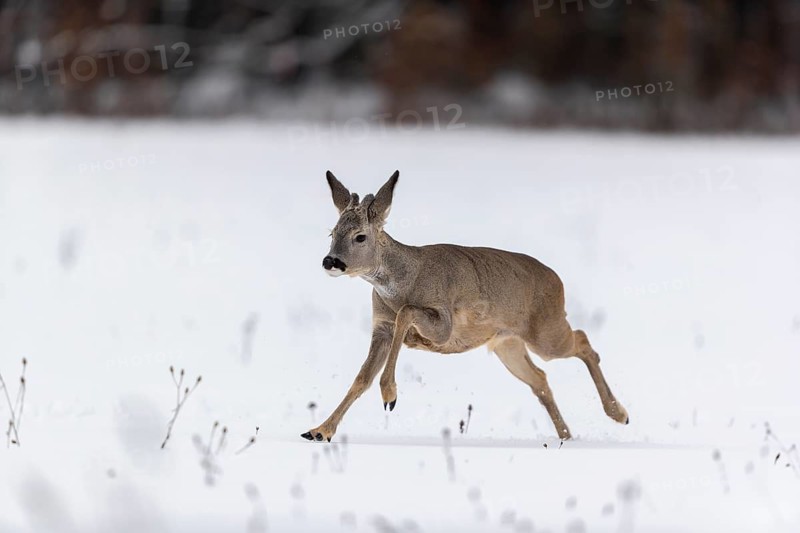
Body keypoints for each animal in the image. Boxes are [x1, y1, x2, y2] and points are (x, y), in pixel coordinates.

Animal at [301, 170, 629, 443]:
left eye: (360, 236)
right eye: (332, 233)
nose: (330, 261)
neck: (403, 281)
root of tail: (556, 279)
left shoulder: (443, 324)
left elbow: (406, 314)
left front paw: (390, 395)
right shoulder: (380, 325)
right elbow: (361, 378)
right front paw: (319, 431)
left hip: (547, 333)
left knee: (583, 341)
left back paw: (619, 414)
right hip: (507, 344)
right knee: (540, 378)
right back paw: (567, 435)